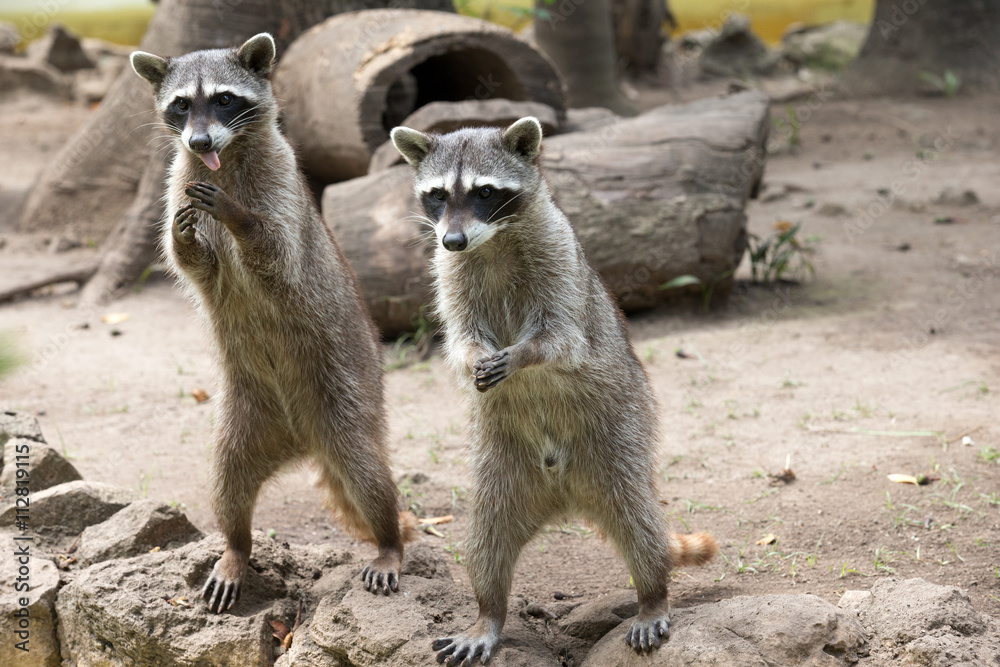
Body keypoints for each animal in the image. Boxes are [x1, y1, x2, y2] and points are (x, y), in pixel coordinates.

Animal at [130, 34, 410, 613]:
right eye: (181, 105)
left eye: (224, 99)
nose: (199, 139)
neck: (224, 157)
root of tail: (303, 441)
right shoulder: (179, 182)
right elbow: (191, 262)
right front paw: (187, 240)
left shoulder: (283, 191)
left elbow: (277, 255)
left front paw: (239, 218)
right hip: (242, 418)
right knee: (227, 483)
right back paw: (236, 547)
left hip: (349, 394)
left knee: (369, 475)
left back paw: (389, 540)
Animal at [392, 118, 718, 664]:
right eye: (437, 195)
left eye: (484, 193)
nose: (454, 239)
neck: (490, 243)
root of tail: (563, 495)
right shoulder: (449, 274)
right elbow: (459, 340)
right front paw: (474, 356)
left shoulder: (560, 258)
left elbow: (564, 338)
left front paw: (525, 354)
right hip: (499, 469)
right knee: (486, 542)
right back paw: (489, 612)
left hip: (620, 433)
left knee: (639, 523)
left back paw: (652, 593)